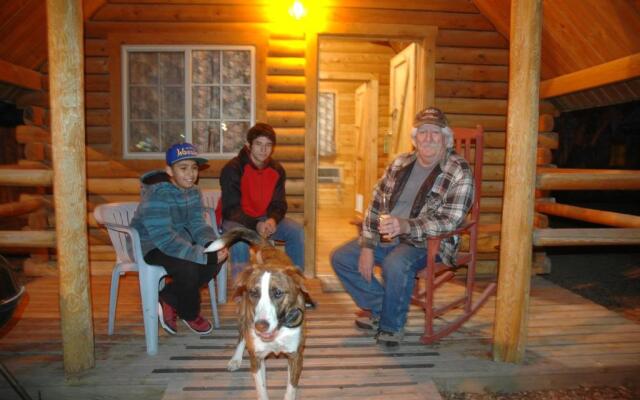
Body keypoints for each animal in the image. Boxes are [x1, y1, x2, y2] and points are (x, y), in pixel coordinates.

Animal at [205, 228, 304, 400]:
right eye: (254, 293)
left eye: (278, 293)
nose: (260, 326)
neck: (278, 331)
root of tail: (266, 245)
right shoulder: (257, 358)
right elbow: (261, 389)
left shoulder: (295, 356)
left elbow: (291, 389)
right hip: (244, 316)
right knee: (241, 337)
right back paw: (235, 359)